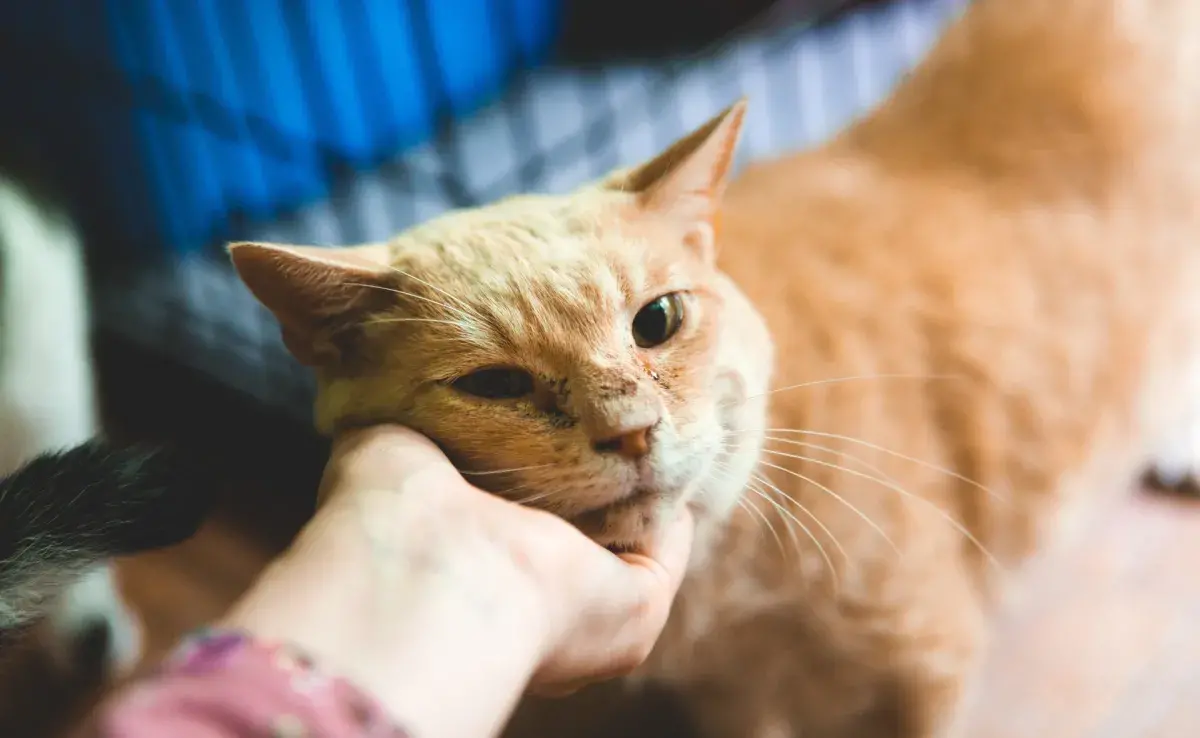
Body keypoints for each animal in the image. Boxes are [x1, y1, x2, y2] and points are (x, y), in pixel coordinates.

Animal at [229, 2, 1200, 734]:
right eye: (495, 385)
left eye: (656, 322)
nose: (631, 432)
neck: (726, 596)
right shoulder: (734, 701)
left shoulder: (922, 670)